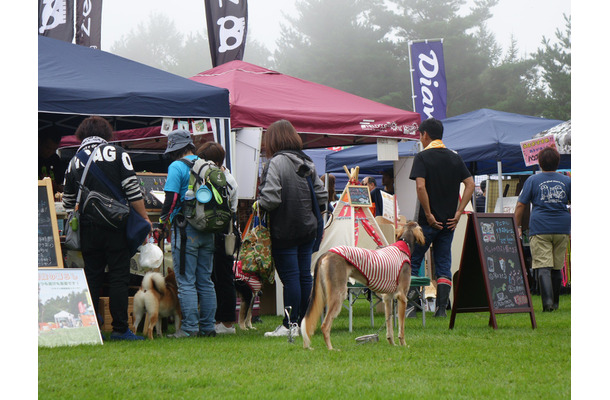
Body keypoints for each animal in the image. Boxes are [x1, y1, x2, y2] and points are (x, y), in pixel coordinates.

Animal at [300, 222, 422, 350]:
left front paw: (392, 344)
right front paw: (403, 345)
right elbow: (401, 328)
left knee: (307, 322)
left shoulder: (387, 298)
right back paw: (331, 348)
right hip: (338, 293)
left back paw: (307, 346)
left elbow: (389, 326)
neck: (404, 244)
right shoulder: (402, 297)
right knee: (325, 325)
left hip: (322, 294)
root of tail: (327, 252)